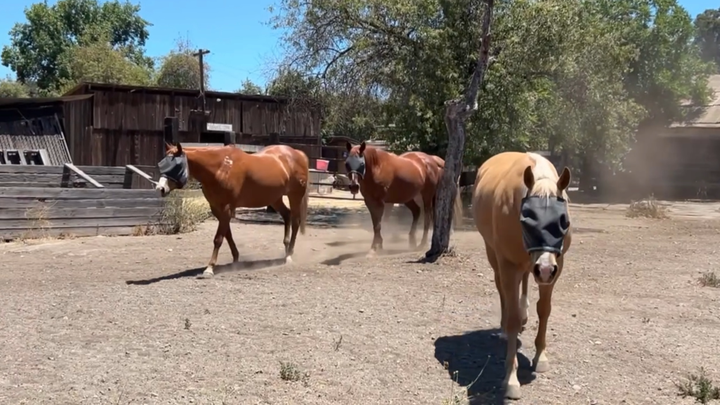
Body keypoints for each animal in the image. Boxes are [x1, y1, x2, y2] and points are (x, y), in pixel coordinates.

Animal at [155, 142, 310, 278]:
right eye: (162, 164)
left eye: (176, 166)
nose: (160, 189)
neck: (221, 168)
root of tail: (297, 153)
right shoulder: (217, 208)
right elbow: (227, 234)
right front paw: (235, 259)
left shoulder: (226, 208)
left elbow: (218, 238)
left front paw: (209, 268)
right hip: (274, 198)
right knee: (287, 215)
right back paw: (286, 249)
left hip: (295, 196)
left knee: (295, 221)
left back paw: (289, 255)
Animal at [471, 151, 572, 400]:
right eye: (527, 219)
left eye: (563, 220)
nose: (544, 269)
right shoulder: (508, 264)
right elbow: (513, 318)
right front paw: (511, 380)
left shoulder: (556, 266)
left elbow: (544, 310)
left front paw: (540, 357)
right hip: (494, 254)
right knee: (502, 289)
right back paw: (503, 328)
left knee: (525, 280)